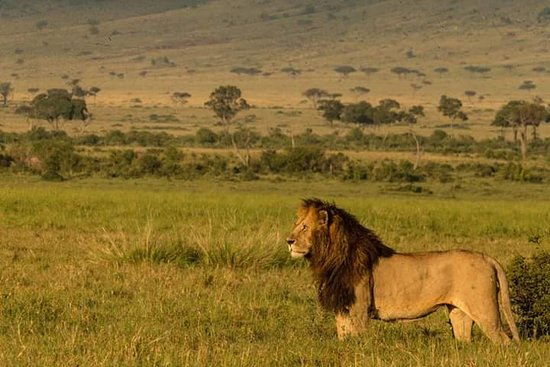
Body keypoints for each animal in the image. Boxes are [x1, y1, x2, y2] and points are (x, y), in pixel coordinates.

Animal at [286, 198, 524, 344]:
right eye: (296, 225)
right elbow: (343, 338)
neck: (330, 258)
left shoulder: (359, 309)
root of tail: (487, 257)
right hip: (459, 313)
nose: (288, 241)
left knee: (504, 341)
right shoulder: (342, 308)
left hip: (485, 311)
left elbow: (358, 338)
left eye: (304, 227)